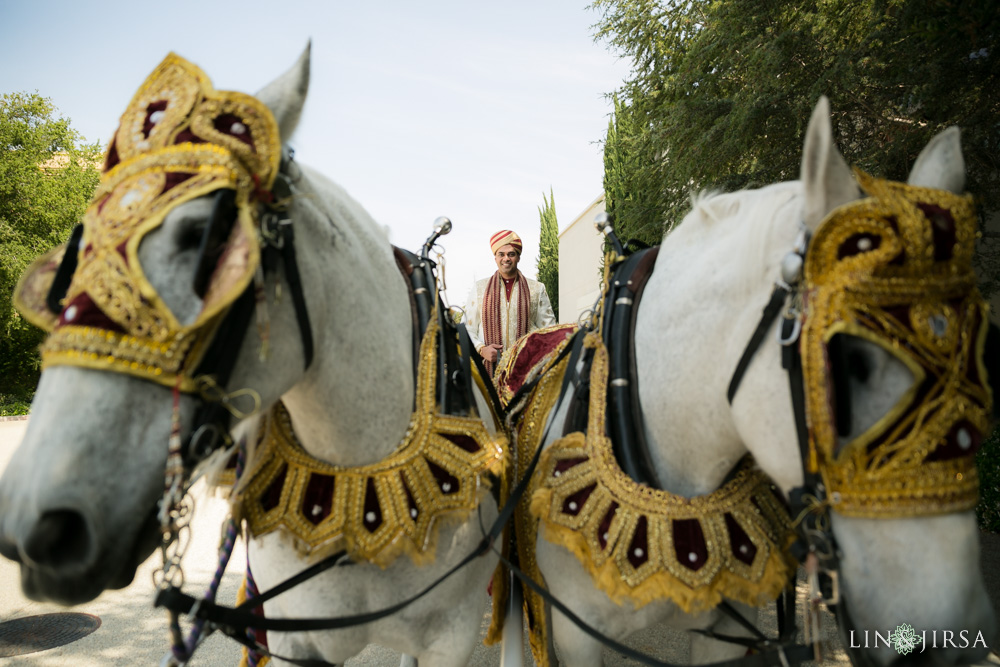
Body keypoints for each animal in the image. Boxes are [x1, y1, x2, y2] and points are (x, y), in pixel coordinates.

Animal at [0, 48, 504, 667]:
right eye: (77, 253)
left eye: (204, 236)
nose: (37, 526)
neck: (359, 471)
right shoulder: (294, 638)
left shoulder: (450, 636)